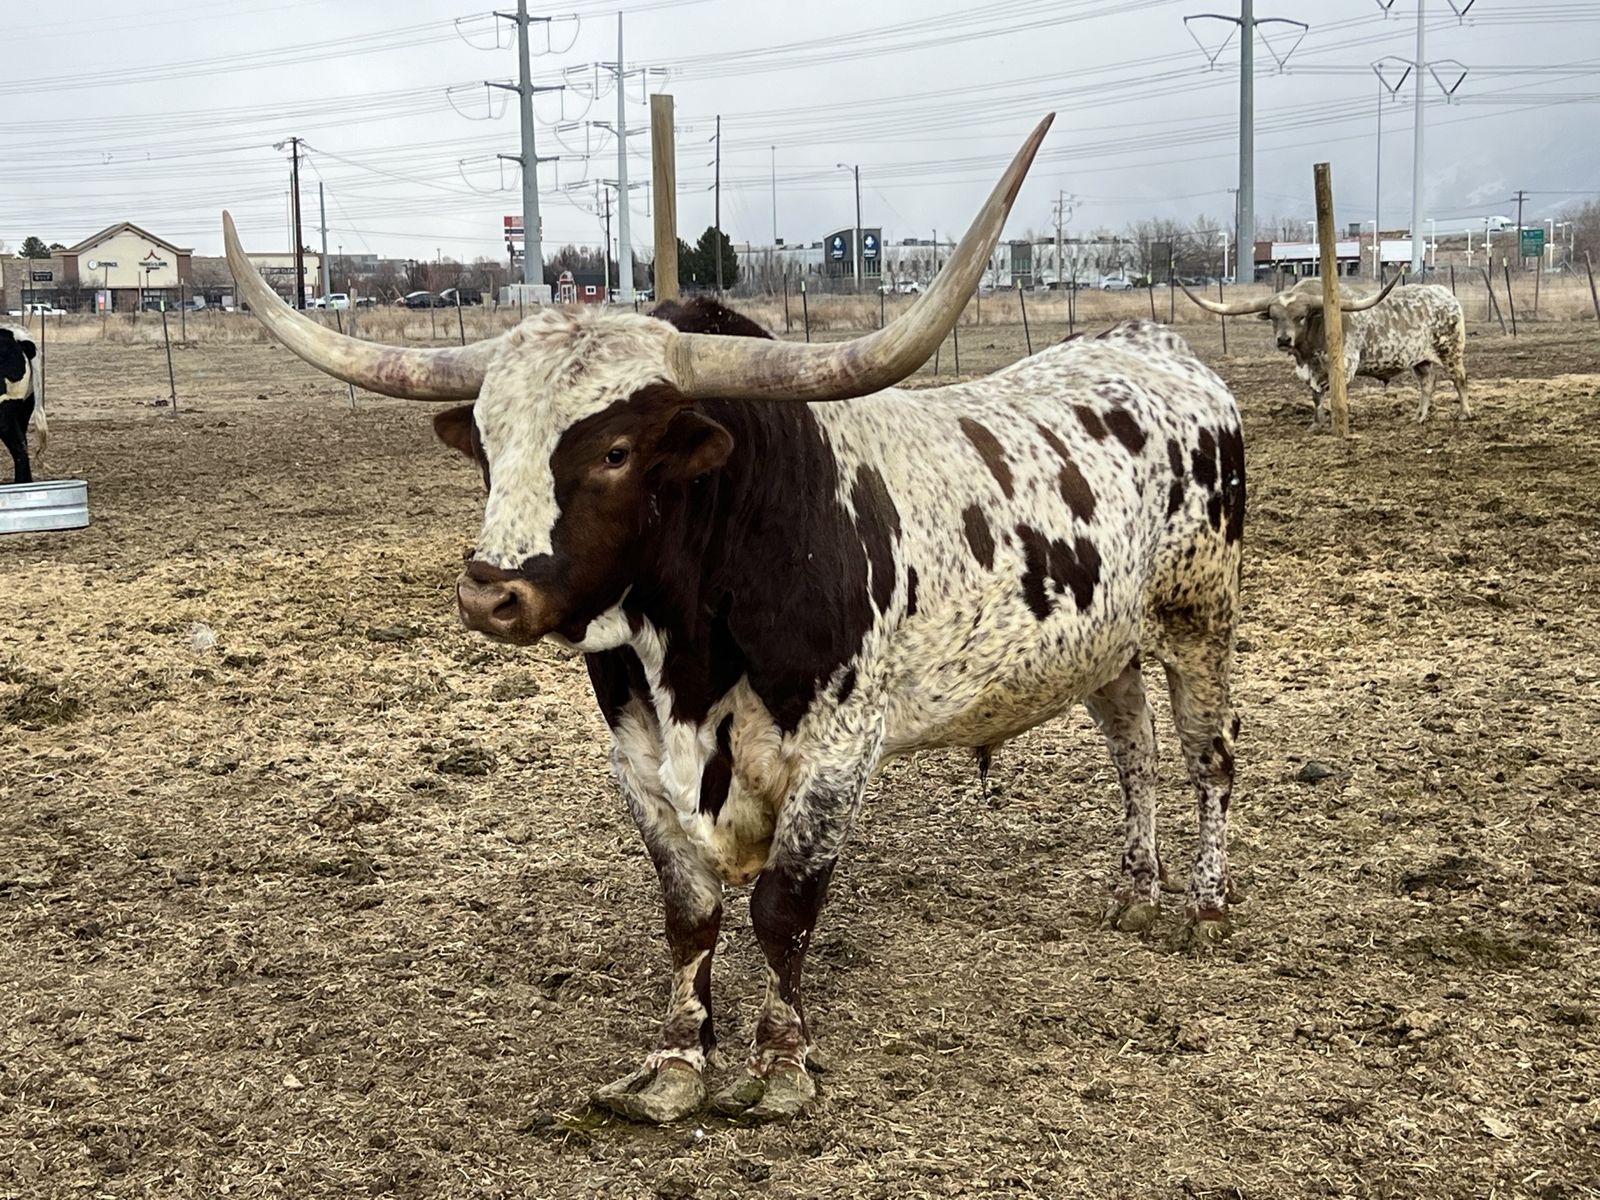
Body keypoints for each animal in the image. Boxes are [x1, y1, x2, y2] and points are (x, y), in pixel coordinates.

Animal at [224, 114, 1247, 1124]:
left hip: (1201, 624)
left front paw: (783, 1062)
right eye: (484, 444)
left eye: (616, 451)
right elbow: (691, 913)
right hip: (1105, 649)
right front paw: (676, 1062)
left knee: (1210, 758)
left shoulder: (838, 753)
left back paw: (1201, 907)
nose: (491, 593)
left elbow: (782, 910)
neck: (698, 633)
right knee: (1134, 753)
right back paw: (1135, 892)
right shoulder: (636, 755)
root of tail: (1159, 349)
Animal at [1182, 275, 1471, 426]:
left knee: (1459, 379)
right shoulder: (1310, 370)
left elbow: (1332, 394)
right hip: (1420, 360)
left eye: (1300, 316)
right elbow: (1315, 395)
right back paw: (1418, 417)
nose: (1284, 340)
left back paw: (1464, 413)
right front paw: (1316, 422)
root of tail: (1444, 293)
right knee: (1427, 383)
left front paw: (1334, 420)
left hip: (1451, 350)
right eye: (1274, 317)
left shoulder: (1344, 365)